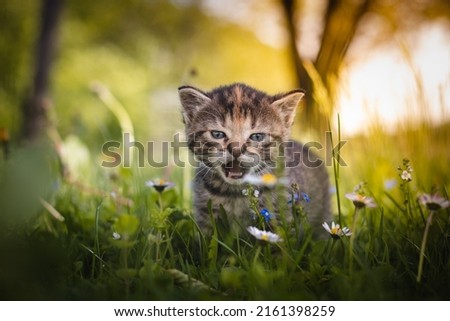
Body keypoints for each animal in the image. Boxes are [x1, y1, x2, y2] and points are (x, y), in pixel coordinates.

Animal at [178, 83, 330, 235]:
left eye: (257, 137)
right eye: (217, 134)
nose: (236, 150)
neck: (235, 193)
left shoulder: (279, 216)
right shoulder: (205, 215)